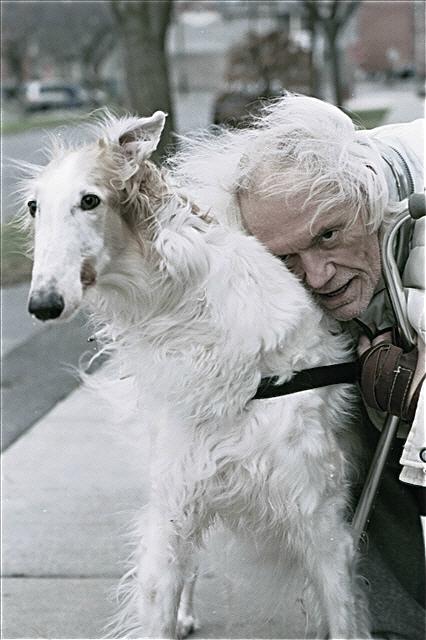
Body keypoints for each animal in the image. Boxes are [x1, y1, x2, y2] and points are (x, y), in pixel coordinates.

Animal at [22, 112, 370, 636]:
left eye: (90, 200)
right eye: (33, 207)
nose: (43, 304)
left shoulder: (322, 521)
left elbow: (342, 613)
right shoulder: (175, 502)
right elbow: (161, 594)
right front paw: (175, 614)